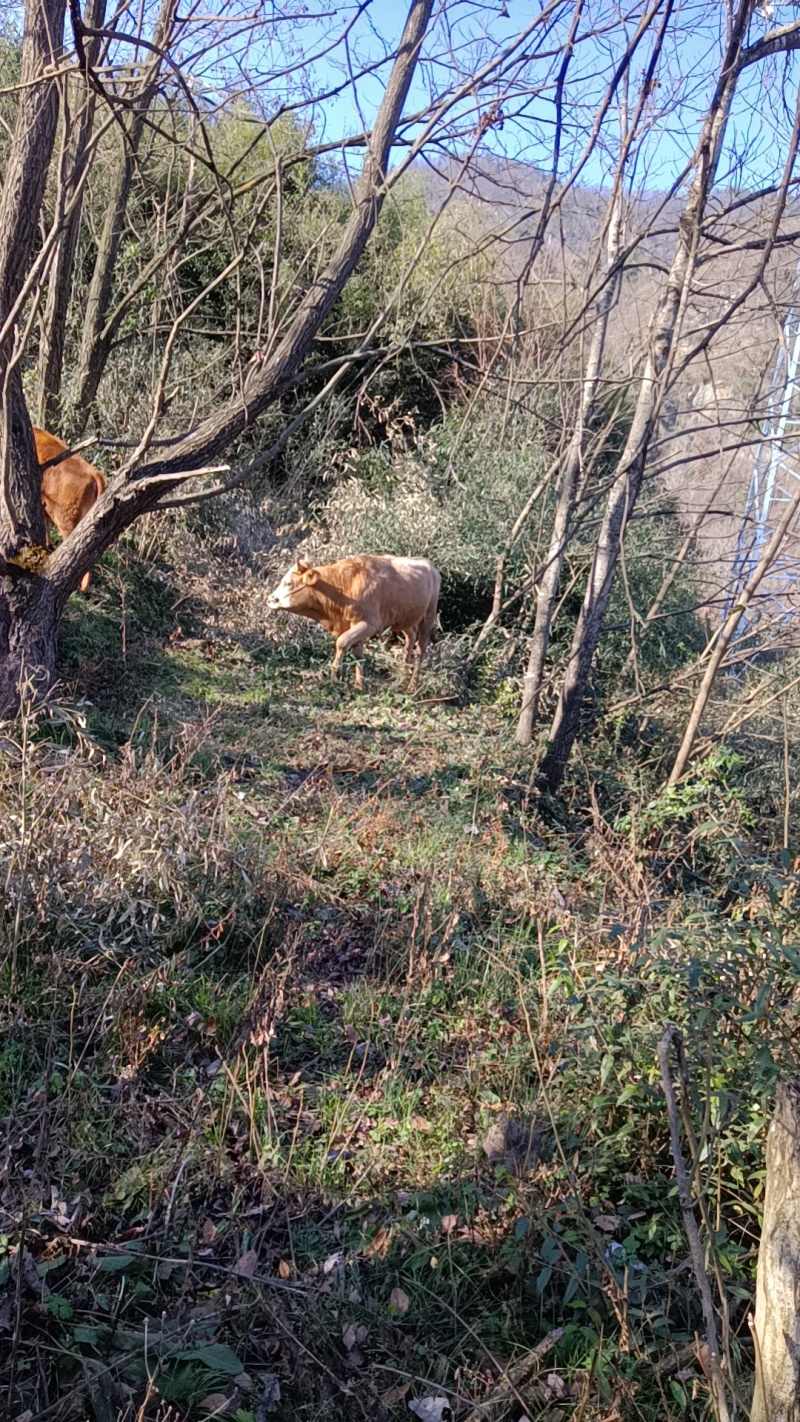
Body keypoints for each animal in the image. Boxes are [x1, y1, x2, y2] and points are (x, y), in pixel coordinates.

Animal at [268, 554, 443, 688]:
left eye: (288, 583)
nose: (270, 600)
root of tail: (430, 565)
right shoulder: (353, 624)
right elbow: (358, 653)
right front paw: (359, 685)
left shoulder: (370, 624)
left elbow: (342, 641)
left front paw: (336, 673)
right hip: (405, 619)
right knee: (410, 637)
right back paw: (403, 671)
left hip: (428, 617)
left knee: (421, 648)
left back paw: (412, 684)